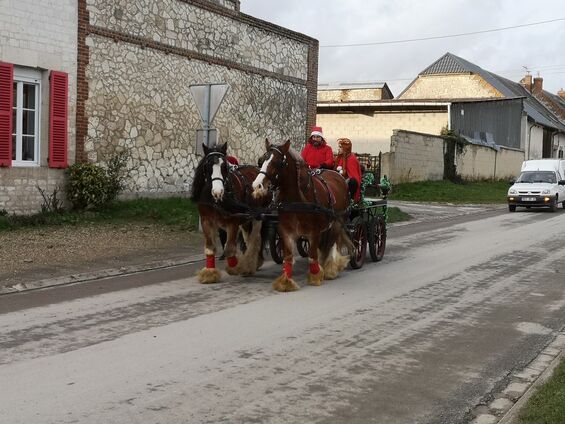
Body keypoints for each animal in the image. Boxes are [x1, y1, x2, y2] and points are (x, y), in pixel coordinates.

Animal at [189, 142, 268, 284]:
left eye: (224, 166)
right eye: (207, 166)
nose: (217, 191)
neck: (216, 200)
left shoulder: (233, 221)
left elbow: (230, 248)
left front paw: (238, 267)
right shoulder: (206, 221)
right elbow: (210, 247)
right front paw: (209, 273)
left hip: (257, 216)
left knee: (255, 239)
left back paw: (251, 263)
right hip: (246, 219)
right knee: (248, 239)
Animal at [252, 139, 352, 292]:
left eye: (278, 162)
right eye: (261, 160)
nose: (257, 186)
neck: (296, 201)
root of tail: (339, 176)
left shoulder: (313, 232)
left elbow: (312, 255)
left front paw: (316, 276)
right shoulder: (285, 232)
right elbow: (288, 258)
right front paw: (286, 282)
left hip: (337, 222)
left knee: (332, 244)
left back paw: (330, 268)